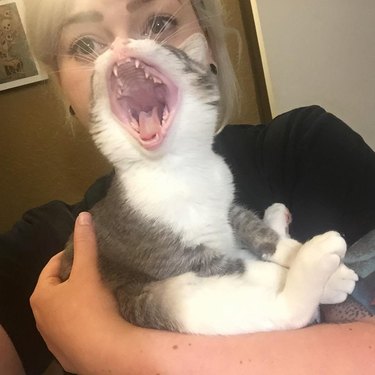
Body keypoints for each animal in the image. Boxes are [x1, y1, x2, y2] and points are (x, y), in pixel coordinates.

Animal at [61, 34, 358, 334]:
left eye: (169, 49)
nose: (119, 42)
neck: (181, 168)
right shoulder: (176, 257)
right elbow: (252, 268)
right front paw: (334, 279)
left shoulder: (228, 205)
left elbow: (260, 234)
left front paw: (290, 249)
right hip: (173, 301)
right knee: (284, 311)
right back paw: (318, 257)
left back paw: (278, 219)